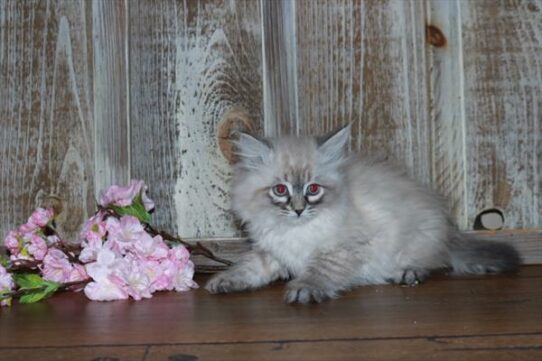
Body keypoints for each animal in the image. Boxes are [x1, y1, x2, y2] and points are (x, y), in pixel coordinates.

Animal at [205, 125, 524, 302]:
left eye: (313, 189)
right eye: (281, 190)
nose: (298, 210)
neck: (295, 231)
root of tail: (451, 233)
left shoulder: (343, 249)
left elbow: (319, 271)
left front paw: (304, 289)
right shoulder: (272, 250)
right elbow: (249, 268)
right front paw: (223, 282)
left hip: (420, 239)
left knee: (435, 261)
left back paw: (408, 274)